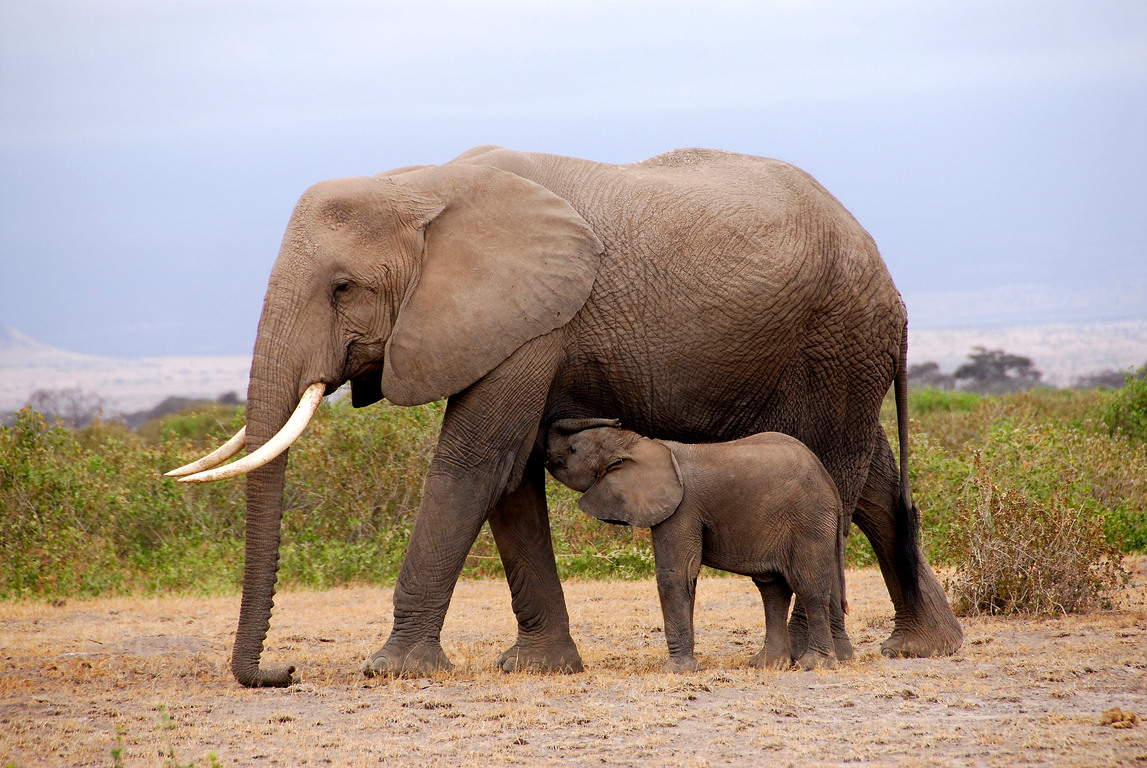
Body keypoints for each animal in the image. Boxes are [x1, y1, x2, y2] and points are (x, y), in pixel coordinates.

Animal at [545, 421, 853, 674]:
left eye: (573, 449)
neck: (641, 444)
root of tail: (829, 482)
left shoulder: (682, 507)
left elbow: (676, 574)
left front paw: (675, 671)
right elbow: (686, 578)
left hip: (808, 519)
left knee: (808, 586)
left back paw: (814, 664)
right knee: (773, 589)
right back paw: (768, 664)